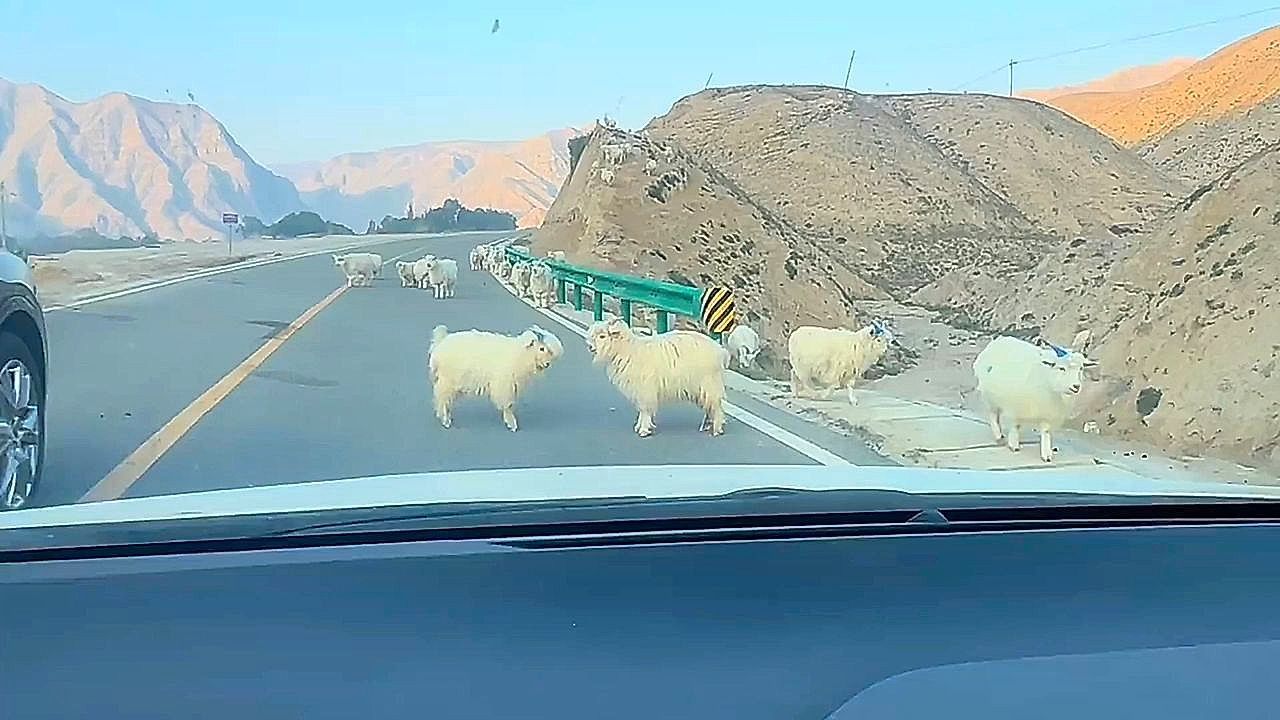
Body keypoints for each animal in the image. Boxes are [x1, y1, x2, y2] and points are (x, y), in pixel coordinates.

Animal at [429, 324, 564, 432]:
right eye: (541, 348)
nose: (547, 364)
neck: (520, 354)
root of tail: (440, 342)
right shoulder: (505, 385)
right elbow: (507, 405)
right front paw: (512, 424)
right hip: (447, 380)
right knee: (441, 399)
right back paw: (446, 420)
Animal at [585, 318, 727, 437]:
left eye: (602, 336)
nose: (590, 347)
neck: (628, 350)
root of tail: (720, 350)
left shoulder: (644, 389)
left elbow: (645, 409)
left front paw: (643, 430)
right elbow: (642, 409)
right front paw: (639, 426)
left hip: (709, 382)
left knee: (716, 406)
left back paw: (717, 428)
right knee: (710, 405)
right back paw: (707, 425)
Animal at [973, 331, 1096, 462]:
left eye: (1081, 368)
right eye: (1061, 368)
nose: (1076, 386)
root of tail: (999, 340)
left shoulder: (1048, 412)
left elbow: (1046, 432)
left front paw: (1046, 454)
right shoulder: (1015, 407)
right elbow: (1015, 425)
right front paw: (1014, 445)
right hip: (990, 398)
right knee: (993, 416)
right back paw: (999, 436)